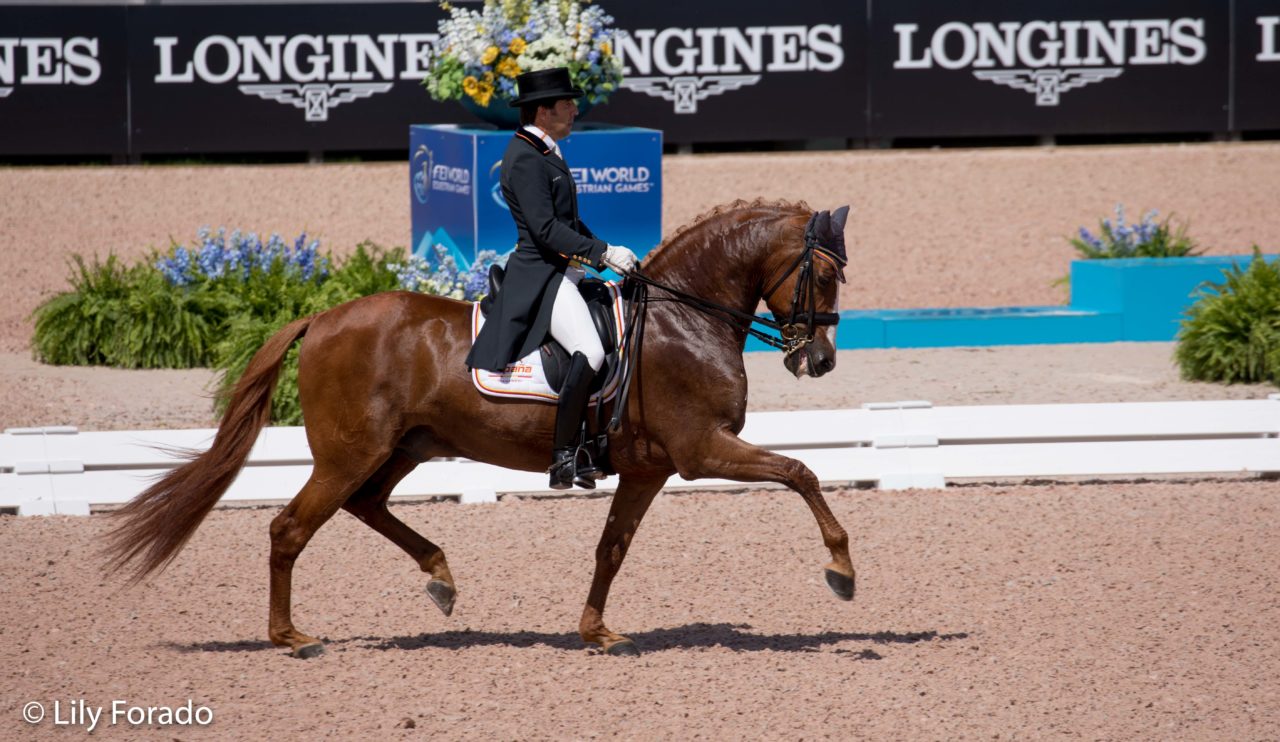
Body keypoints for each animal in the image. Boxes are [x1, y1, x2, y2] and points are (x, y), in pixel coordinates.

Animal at [104, 197, 855, 655]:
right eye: (822, 274)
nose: (819, 360)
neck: (683, 319)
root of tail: (320, 318)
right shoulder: (702, 451)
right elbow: (801, 471)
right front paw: (842, 569)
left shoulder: (649, 468)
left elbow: (611, 549)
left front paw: (596, 631)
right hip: (351, 452)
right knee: (291, 528)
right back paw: (293, 637)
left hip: (403, 448)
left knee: (365, 506)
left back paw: (440, 579)